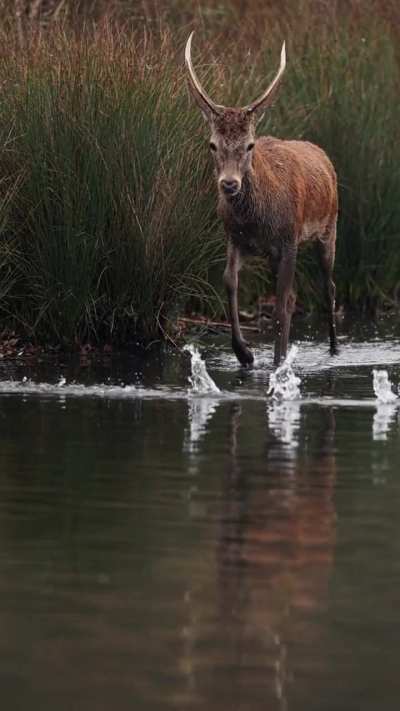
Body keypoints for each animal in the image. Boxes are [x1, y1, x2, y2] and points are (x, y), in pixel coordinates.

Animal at [185, 33, 338, 367]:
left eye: (249, 145)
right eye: (212, 145)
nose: (229, 183)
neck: (256, 221)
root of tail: (323, 154)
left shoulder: (289, 239)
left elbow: (281, 304)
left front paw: (277, 362)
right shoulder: (237, 239)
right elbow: (229, 281)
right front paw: (245, 353)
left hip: (328, 228)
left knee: (327, 286)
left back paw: (334, 349)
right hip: (273, 254)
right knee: (296, 294)